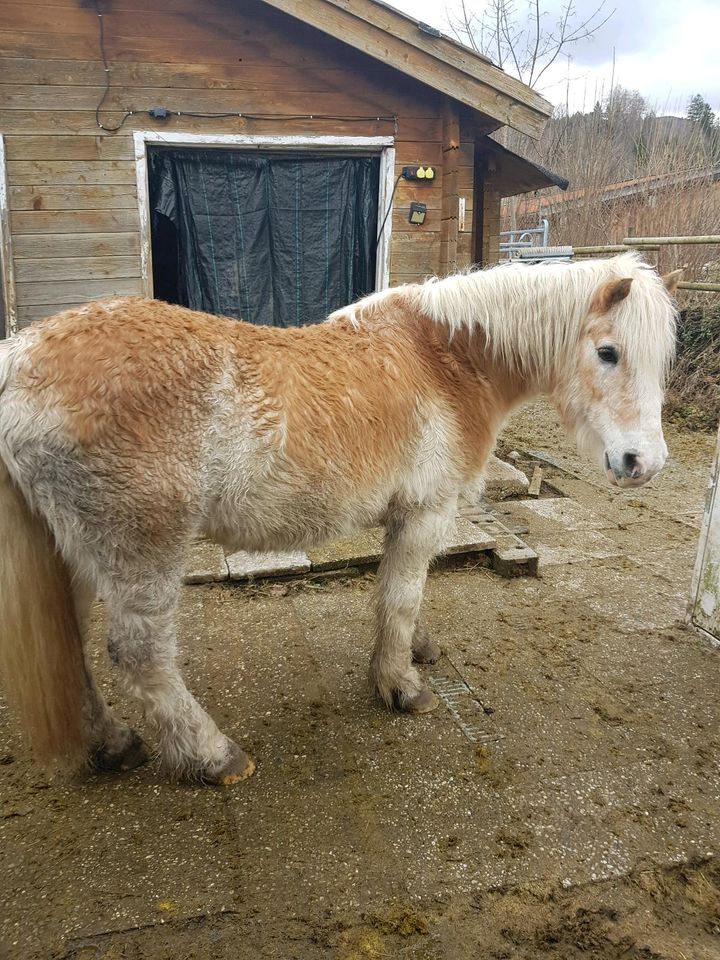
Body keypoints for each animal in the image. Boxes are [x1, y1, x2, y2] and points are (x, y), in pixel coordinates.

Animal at [0, 253, 680, 780]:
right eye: (608, 353)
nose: (642, 462)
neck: (447, 358)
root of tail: (17, 362)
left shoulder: (408, 517)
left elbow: (400, 594)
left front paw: (417, 651)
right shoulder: (426, 512)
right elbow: (399, 599)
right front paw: (400, 685)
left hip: (76, 555)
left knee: (74, 645)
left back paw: (113, 743)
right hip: (143, 549)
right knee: (139, 654)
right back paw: (213, 755)